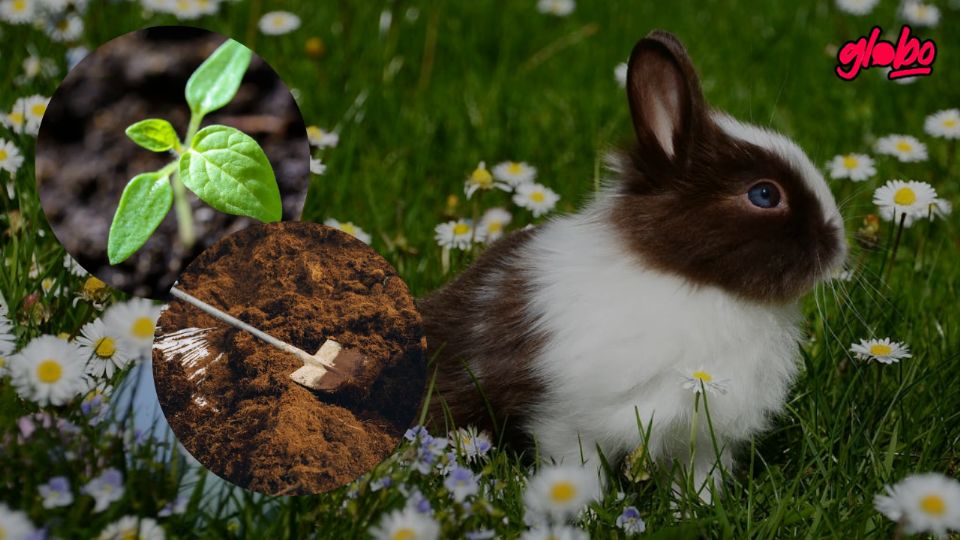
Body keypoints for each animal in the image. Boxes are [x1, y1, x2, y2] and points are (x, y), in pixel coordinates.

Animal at [420, 30, 846, 499]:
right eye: (765, 195)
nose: (838, 244)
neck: (690, 281)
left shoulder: (704, 437)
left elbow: (699, 478)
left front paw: (695, 507)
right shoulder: (568, 422)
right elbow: (577, 470)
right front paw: (583, 507)